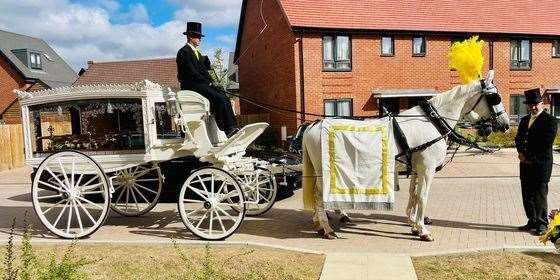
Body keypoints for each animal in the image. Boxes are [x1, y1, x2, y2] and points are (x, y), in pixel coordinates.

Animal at [304, 70, 510, 241]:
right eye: (494, 97)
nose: (505, 124)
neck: (432, 121)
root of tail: (313, 126)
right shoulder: (427, 169)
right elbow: (423, 196)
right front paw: (423, 230)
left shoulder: (417, 168)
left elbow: (414, 194)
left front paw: (413, 224)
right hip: (325, 171)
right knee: (318, 196)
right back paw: (327, 229)